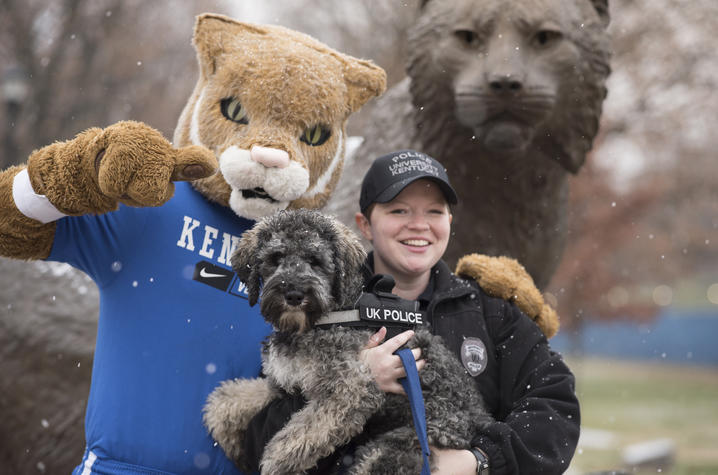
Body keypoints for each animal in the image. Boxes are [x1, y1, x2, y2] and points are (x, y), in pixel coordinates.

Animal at [204, 210, 496, 474]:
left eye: (315, 260)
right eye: (275, 258)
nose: (294, 294)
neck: (325, 319)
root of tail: (478, 419)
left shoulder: (351, 389)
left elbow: (300, 435)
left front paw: (275, 461)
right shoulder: (282, 384)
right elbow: (232, 398)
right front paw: (229, 435)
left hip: (396, 447)